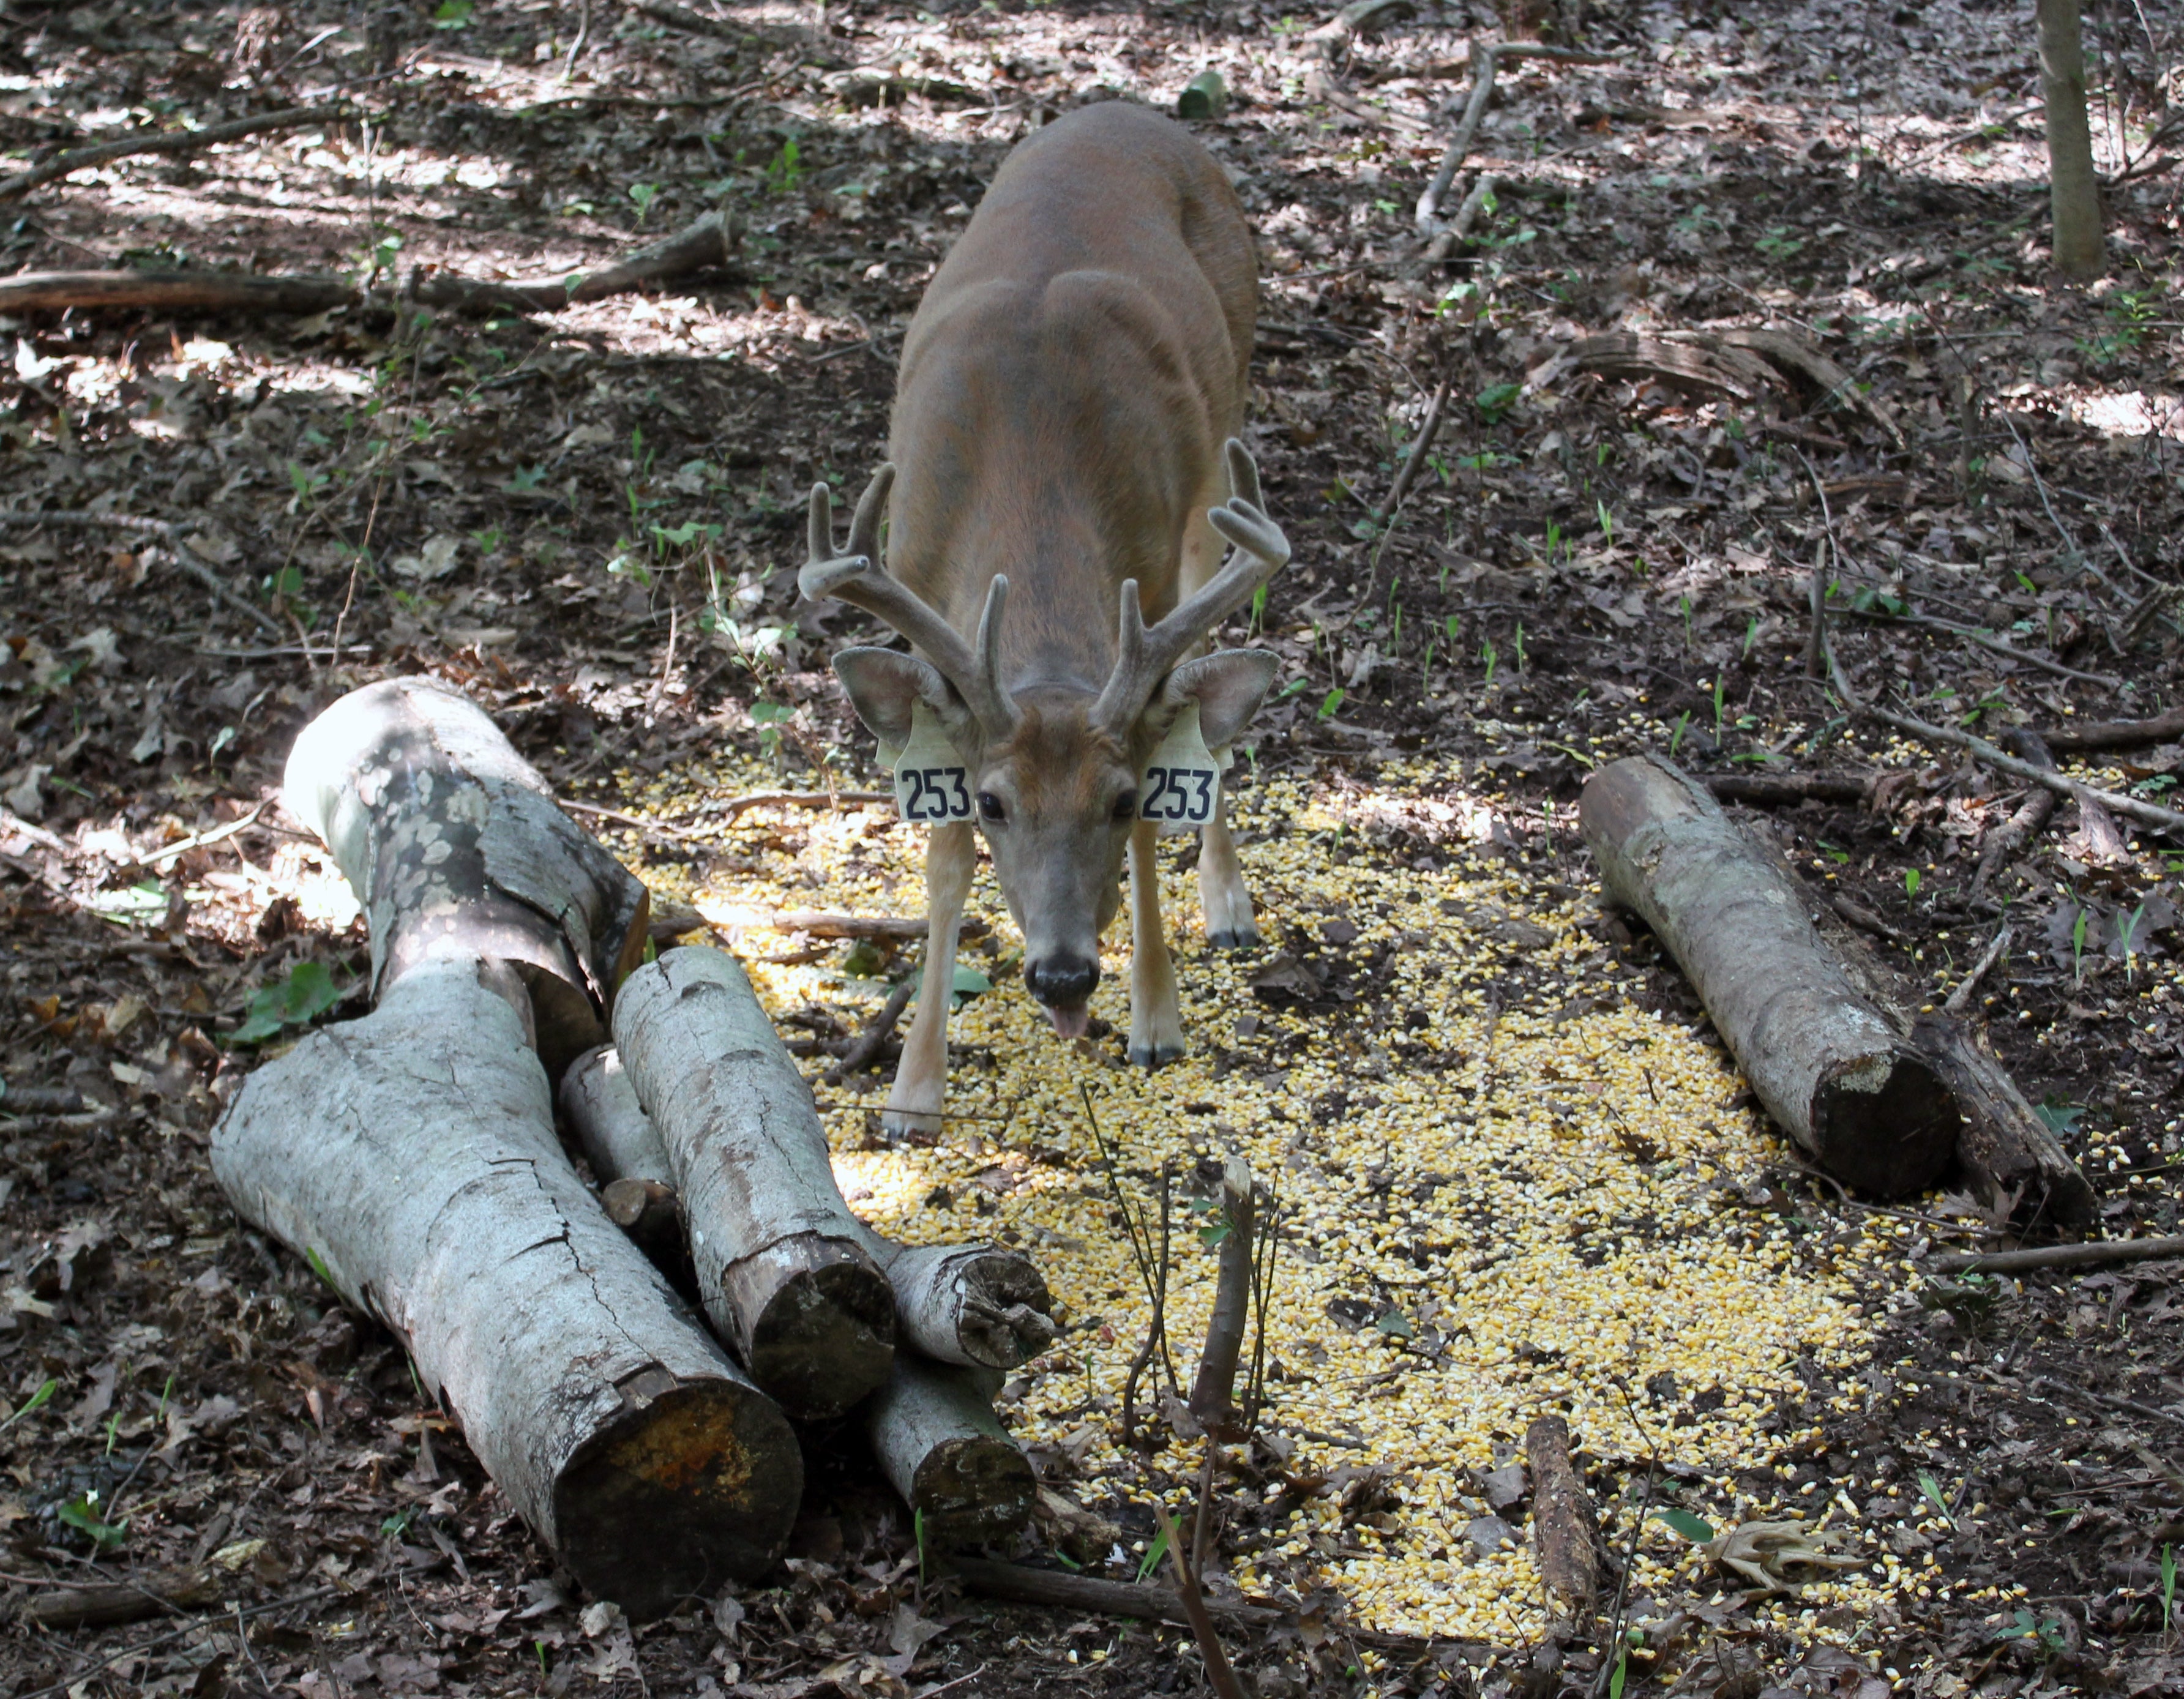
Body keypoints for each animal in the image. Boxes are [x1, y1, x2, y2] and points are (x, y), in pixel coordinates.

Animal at [799, 102, 1284, 1127]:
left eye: (1119, 796)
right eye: (994, 801)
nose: (1063, 977)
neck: (1030, 470)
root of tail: (1129, 111)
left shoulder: (1149, 570)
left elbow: (1155, 814)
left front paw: (1155, 1017)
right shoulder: (916, 583)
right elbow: (942, 861)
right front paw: (913, 1091)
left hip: (1220, 454)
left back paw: (1226, 902)